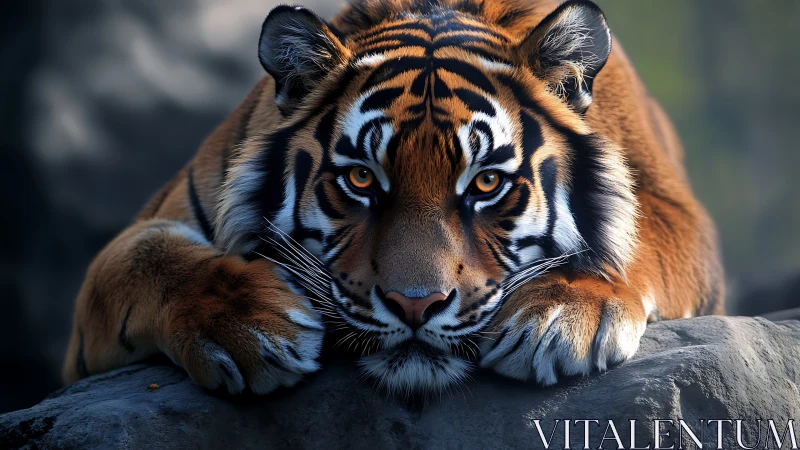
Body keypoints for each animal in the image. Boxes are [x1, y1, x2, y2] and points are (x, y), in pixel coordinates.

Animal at [62, 0, 724, 395]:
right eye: (360, 180)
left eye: (486, 183)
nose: (415, 305)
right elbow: (142, 261)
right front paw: (250, 326)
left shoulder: (671, 204)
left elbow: (634, 236)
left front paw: (561, 317)